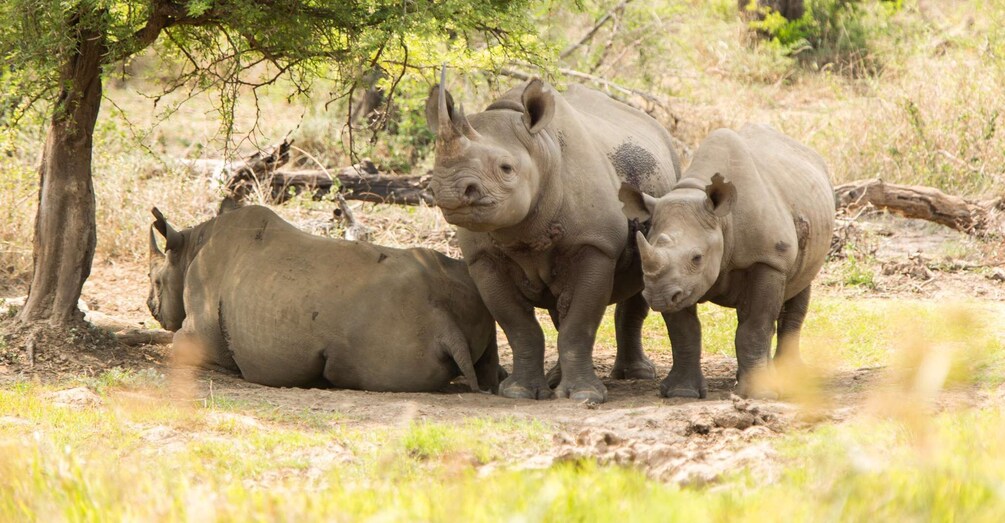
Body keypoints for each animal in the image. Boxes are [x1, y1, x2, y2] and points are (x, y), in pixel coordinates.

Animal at [147, 203, 501, 393]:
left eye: (157, 281)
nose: (151, 309)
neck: (188, 248)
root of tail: (445, 325)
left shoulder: (199, 329)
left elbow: (179, 343)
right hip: (469, 292)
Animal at [425, 72, 681, 403]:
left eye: (506, 168)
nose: (448, 190)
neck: (539, 149)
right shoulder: (483, 258)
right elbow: (519, 326)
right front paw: (520, 393)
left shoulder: (595, 246)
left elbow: (579, 323)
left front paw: (584, 396)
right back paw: (556, 378)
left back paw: (635, 375)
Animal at [619, 124, 836, 398]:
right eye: (643, 251)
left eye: (697, 258)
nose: (658, 297)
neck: (721, 221)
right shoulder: (679, 283)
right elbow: (684, 332)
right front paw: (682, 392)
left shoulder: (769, 260)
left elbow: (755, 326)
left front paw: (759, 394)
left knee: (799, 289)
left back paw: (788, 379)